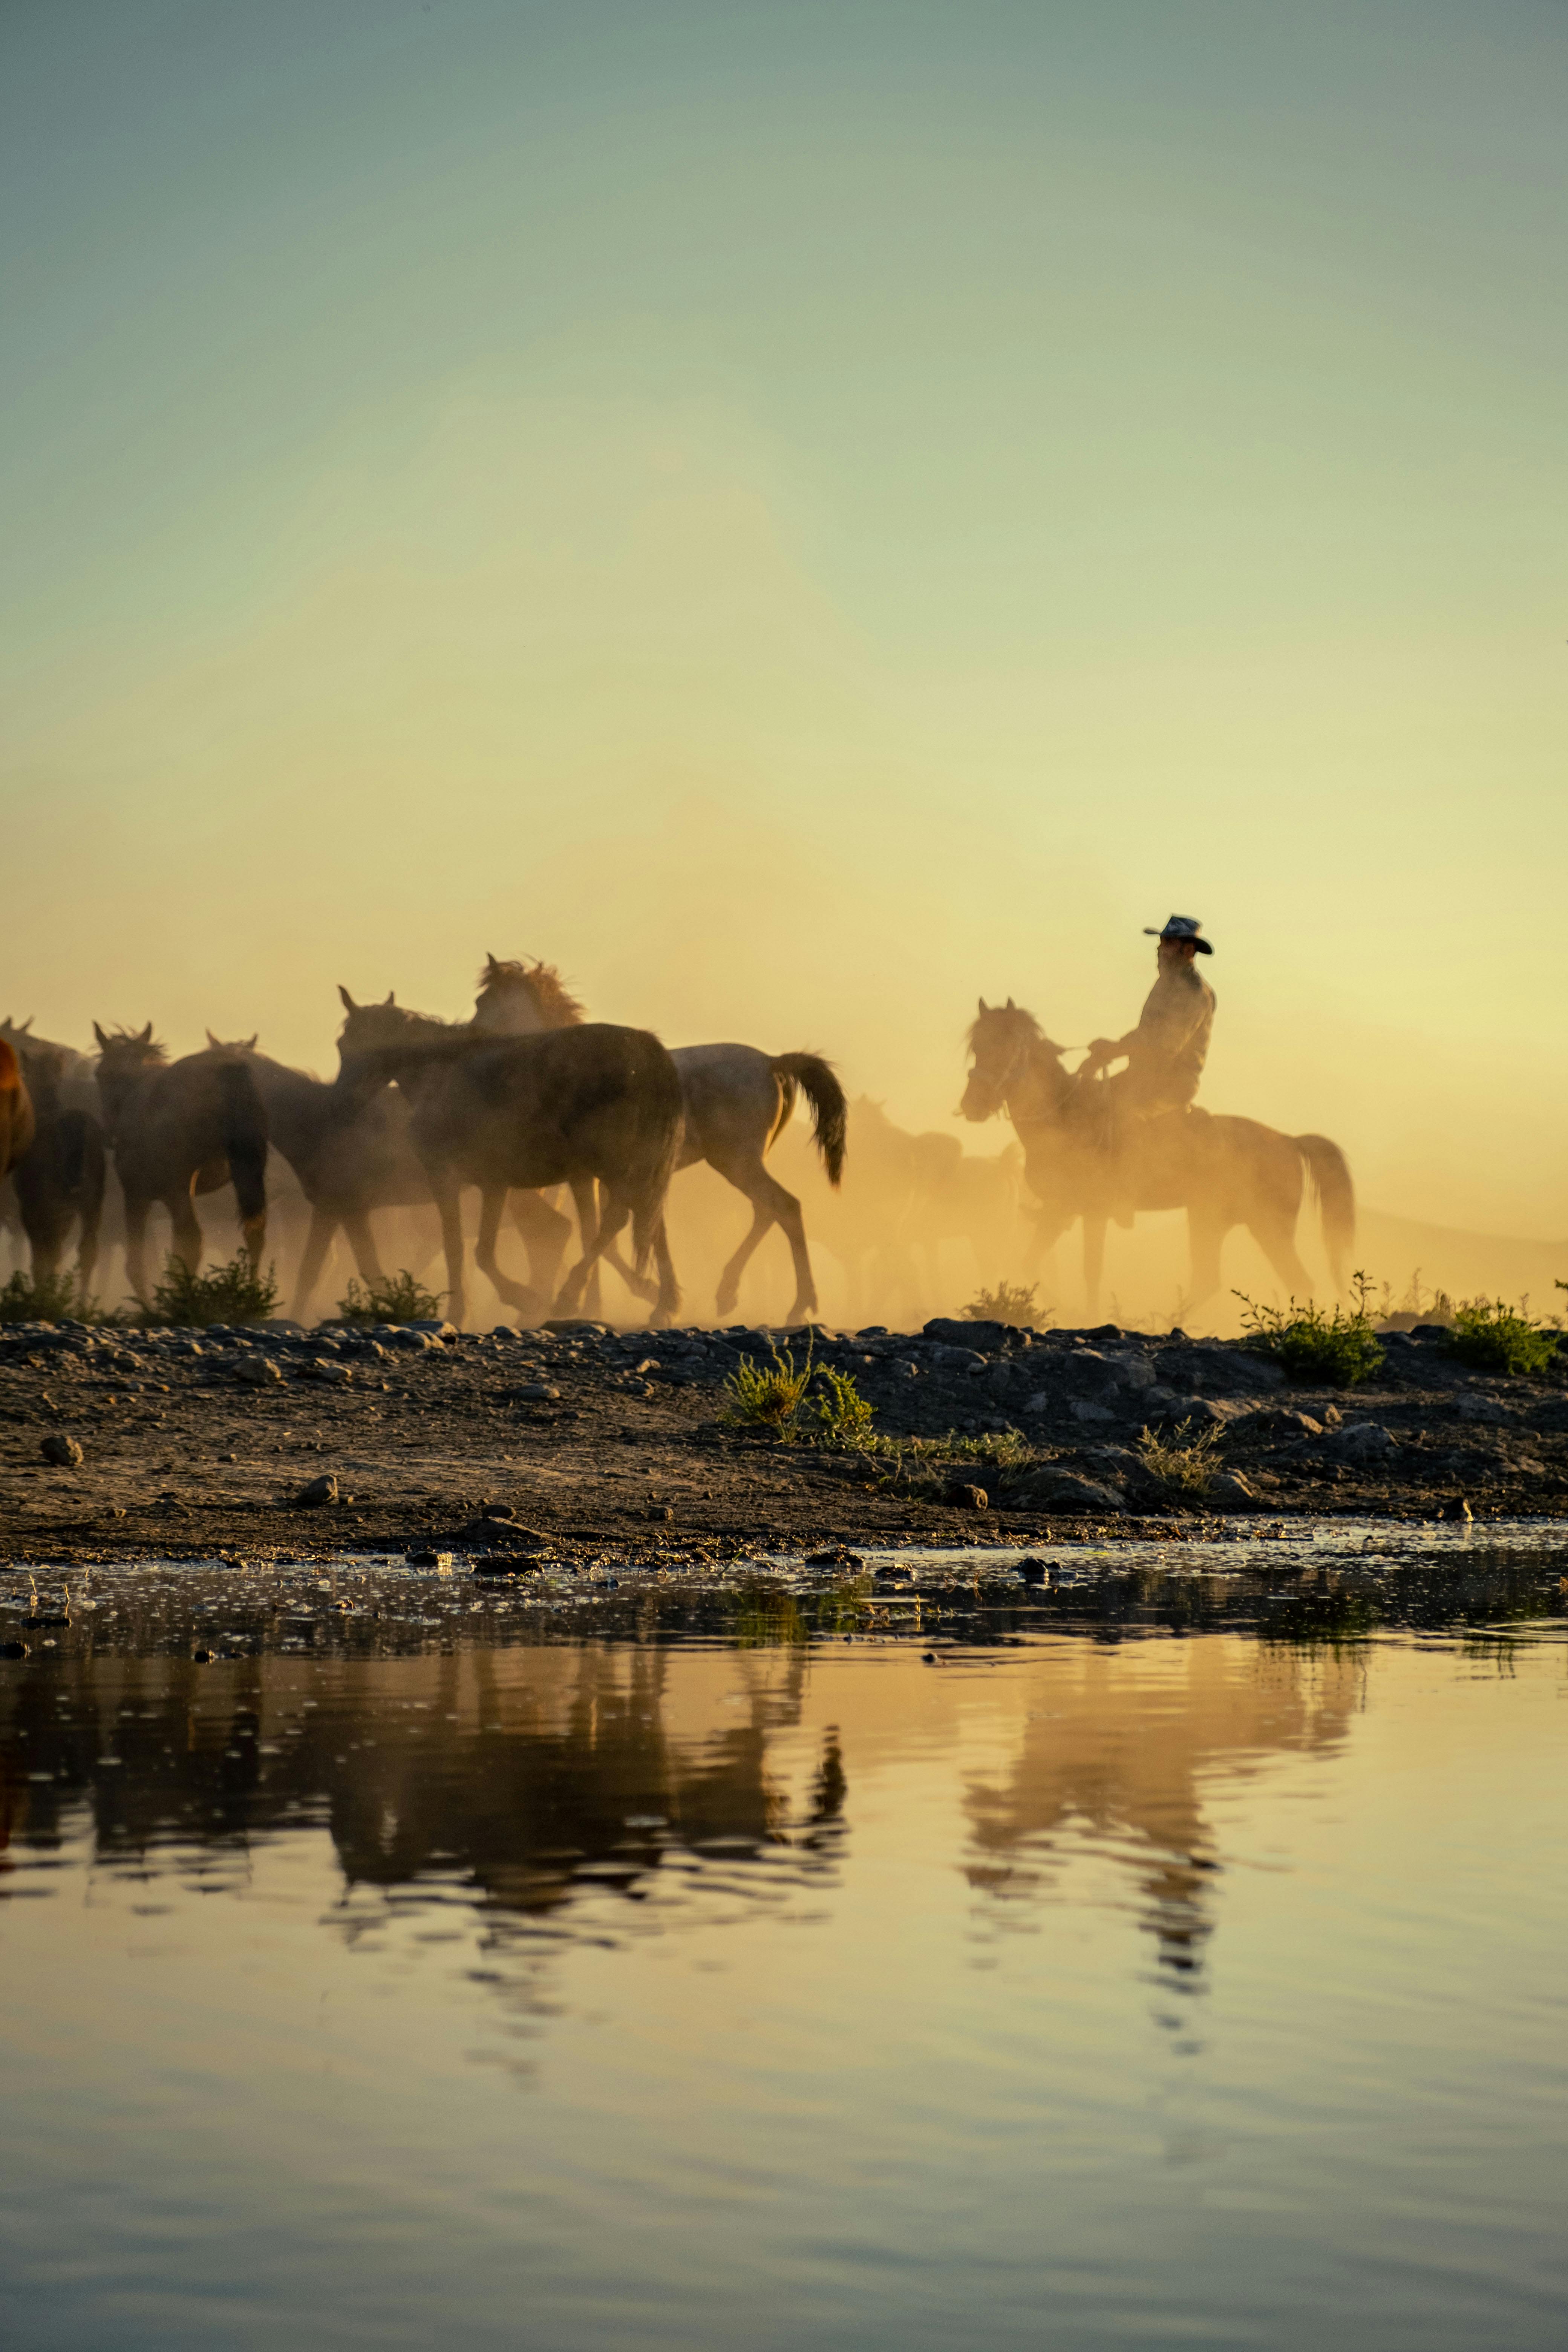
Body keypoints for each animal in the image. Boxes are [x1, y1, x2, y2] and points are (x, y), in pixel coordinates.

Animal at [91, 1021, 268, 1298]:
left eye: (101, 1074)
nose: (109, 1134)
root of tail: (228, 1073)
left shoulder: (137, 1196)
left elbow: (137, 1265)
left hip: (178, 1191)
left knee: (193, 1241)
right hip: (246, 1175)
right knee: (254, 1232)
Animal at [334, 988, 681, 1326]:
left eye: (355, 1045)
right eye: (341, 1045)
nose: (341, 1103)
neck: (442, 1075)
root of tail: (644, 1048)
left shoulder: (444, 1176)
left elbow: (458, 1247)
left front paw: (474, 1310)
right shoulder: (494, 1183)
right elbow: (483, 1251)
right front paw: (521, 1300)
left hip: (613, 1164)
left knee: (618, 1219)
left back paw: (570, 1296)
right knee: (651, 1221)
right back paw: (665, 1305)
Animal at [475, 950, 846, 1326]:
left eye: (483, 1002)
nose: (472, 1039)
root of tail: (772, 1062)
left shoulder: (592, 1177)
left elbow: (604, 1235)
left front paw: (594, 1301)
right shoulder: (611, 1179)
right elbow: (635, 1233)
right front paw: (657, 1302)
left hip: (736, 1162)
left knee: (786, 1207)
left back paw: (796, 1306)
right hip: (740, 1164)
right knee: (767, 1211)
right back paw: (730, 1294)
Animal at [964, 997, 1354, 1326]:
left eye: (1006, 1046)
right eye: (976, 1047)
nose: (972, 1105)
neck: (1064, 1115)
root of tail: (1290, 1142)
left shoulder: (1092, 1211)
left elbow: (1090, 1270)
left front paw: (1083, 1316)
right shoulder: (1059, 1209)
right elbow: (1029, 1263)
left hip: (1263, 1226)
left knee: (1294, 1281)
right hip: (1214, 1220)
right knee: (1218, 1279)